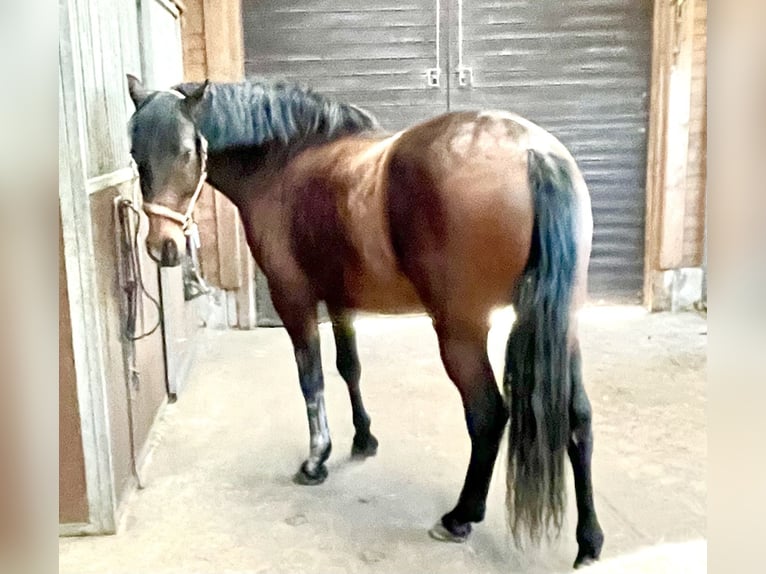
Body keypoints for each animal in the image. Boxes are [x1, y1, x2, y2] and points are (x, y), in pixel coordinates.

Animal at [126, 75, 604, 568]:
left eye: (187, 151)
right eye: (135, 154)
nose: (163, 246)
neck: (284, 163)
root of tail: (532, 153)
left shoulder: (293, 299)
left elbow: (312, 380)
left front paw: (316, 461)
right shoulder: (339, 301)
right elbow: (349, 367)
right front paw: (363, 439)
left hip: (461, 329)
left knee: (489, 414)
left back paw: (460, 516)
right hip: (561, 322)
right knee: (578, 418)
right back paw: (589, 541)